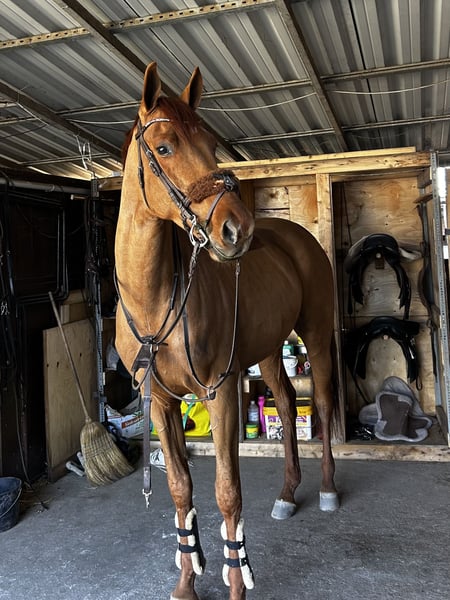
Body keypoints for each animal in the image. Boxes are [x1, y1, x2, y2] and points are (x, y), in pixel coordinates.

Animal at [114, 62, 339, 600]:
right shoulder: (162, 402)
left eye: (211, 143)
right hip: (269, 350)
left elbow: (227, 491)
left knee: (321, 402)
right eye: (165, 147)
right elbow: (181, 488)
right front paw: (186, 580)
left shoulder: (219, 391)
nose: (238, 230)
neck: (154, 303)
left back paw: (325, 488)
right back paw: (287, 492)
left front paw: (237, 580)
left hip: (316, 335)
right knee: (285, 402)